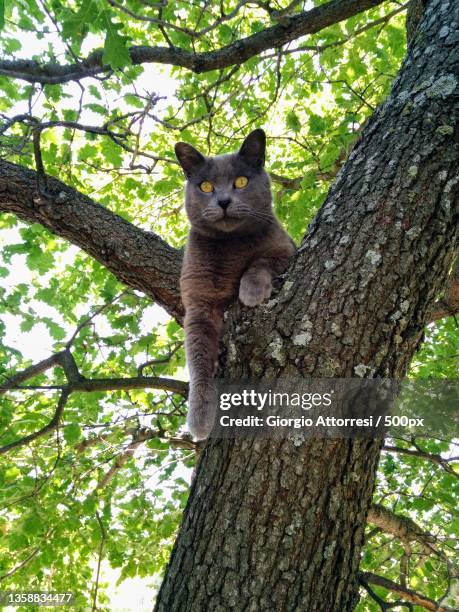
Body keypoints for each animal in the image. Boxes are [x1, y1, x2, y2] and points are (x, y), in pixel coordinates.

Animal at [174, 129, 296, 440]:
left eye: (241, 181)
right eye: (205, 186)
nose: (223, 201)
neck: (230, 246)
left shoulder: (286, 249)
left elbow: (260, 261)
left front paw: (251, 292)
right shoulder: (198, 301)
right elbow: (198, 359)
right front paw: (200, 420)